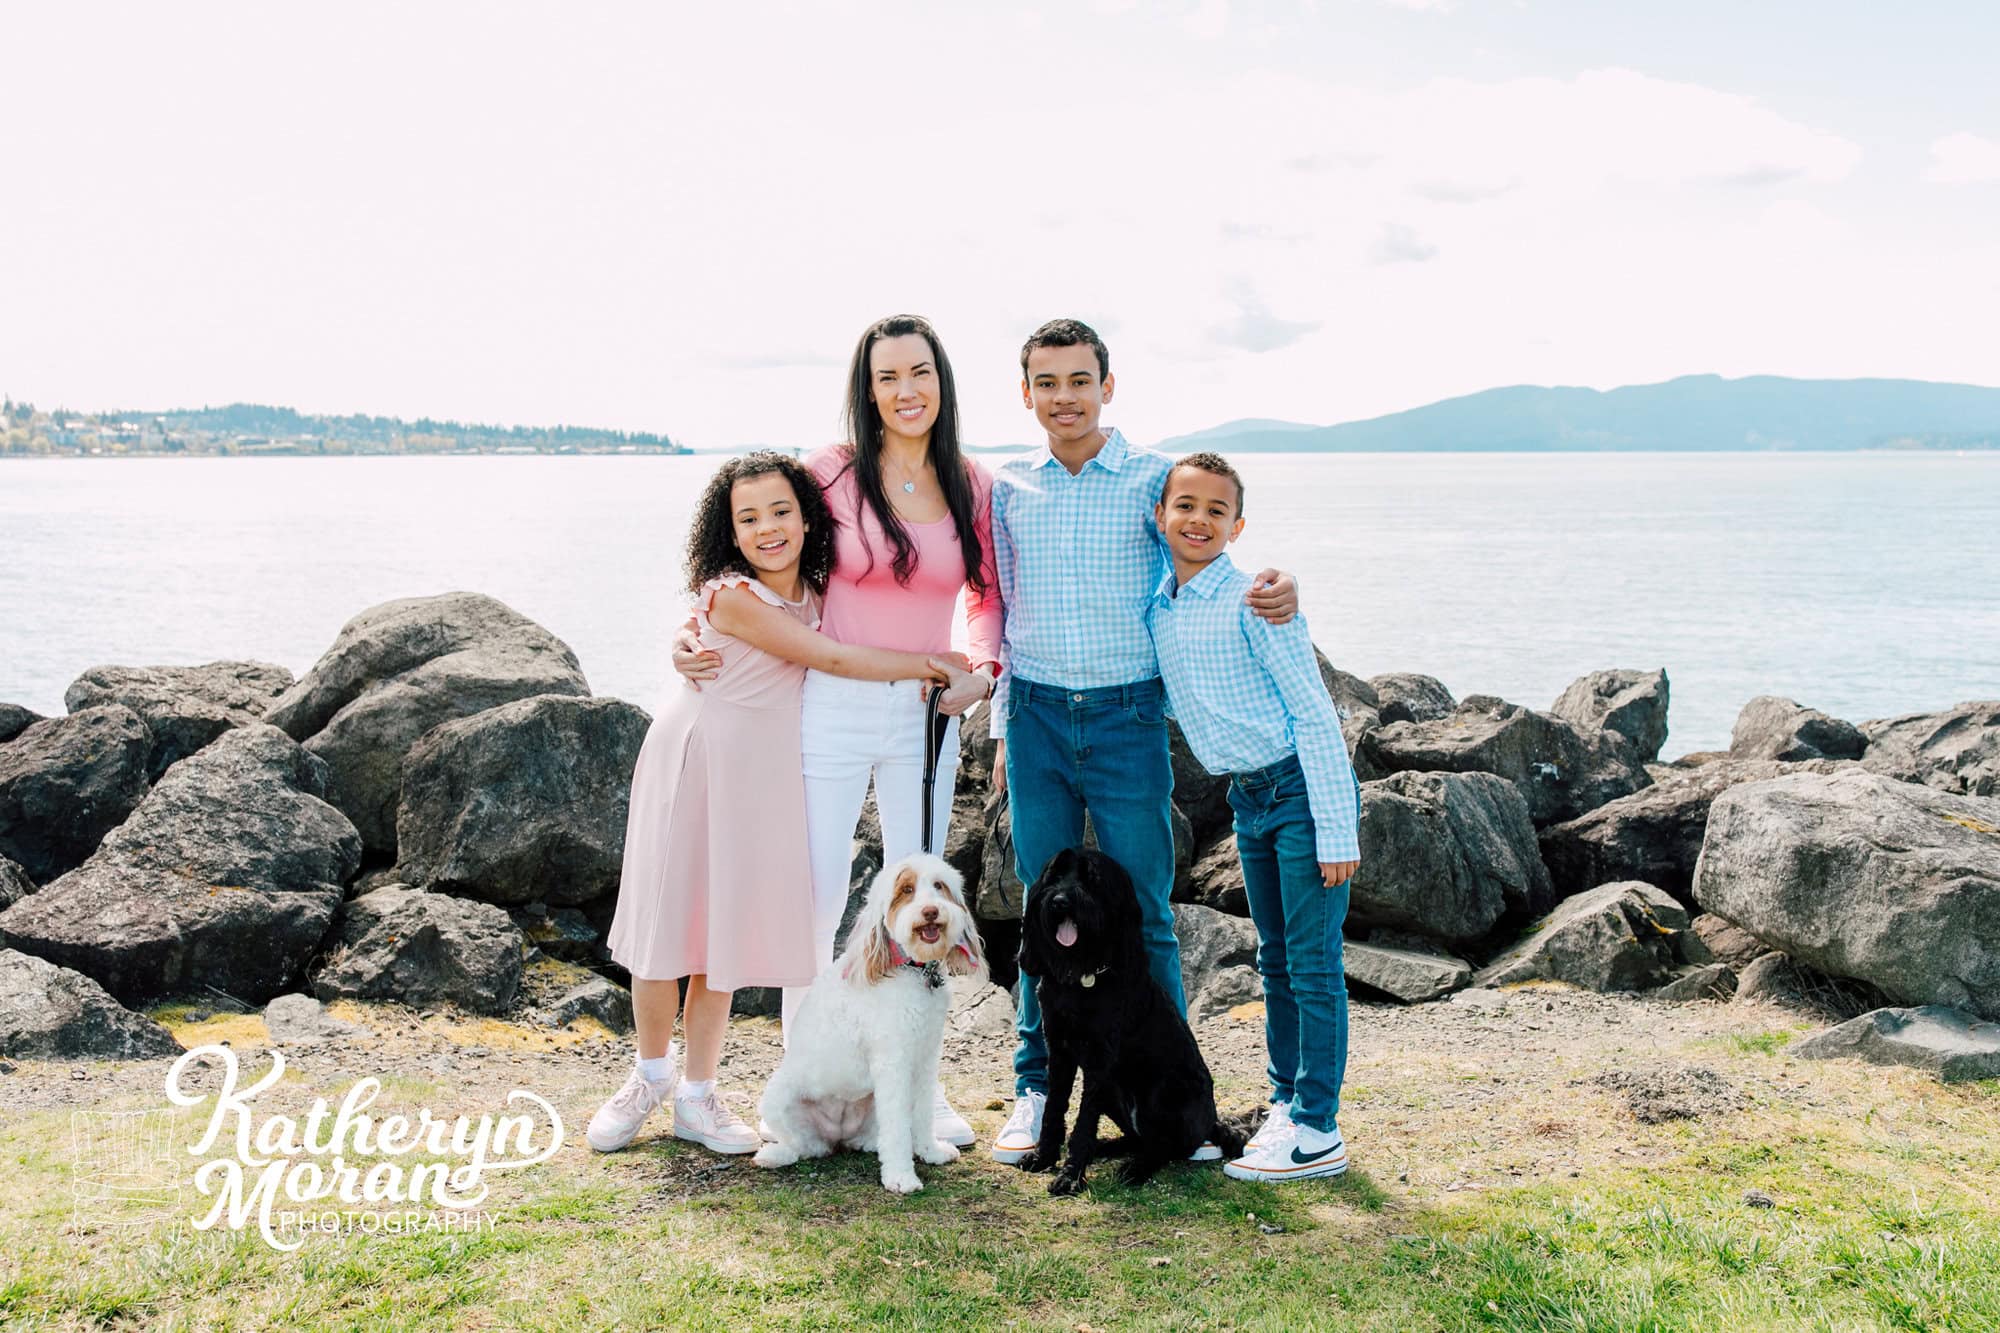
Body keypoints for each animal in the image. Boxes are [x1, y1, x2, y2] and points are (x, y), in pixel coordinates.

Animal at [752, 852, 988, 1192]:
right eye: (906, 890)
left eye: (939, 886)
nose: (930, 911)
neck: (911, 969)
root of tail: (838, 1133)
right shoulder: (893, 1062)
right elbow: (898, 1127)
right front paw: (901, 1177)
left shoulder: (925, 1058)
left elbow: (923, 1111)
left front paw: (930, 1151)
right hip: (778, 1098)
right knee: (805, 1146)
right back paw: (775, 1154)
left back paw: (869, 1143)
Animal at [1024, 844, 1240, 1184]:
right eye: (1055, 876)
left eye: (1092, 880)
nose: (1060, 901)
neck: (1084, 975)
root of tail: (1212, 1122)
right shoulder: (1058, 1049)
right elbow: (1054, 1107)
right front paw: (1044, 1156)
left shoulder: (1100, 1059)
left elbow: (1085, 1118)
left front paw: (1071, 1176)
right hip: (1117, 1094)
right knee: (1138, 1138)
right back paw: (1104, 1149)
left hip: (1161, 1095)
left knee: (1164, 1147)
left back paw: (1135, 1168)